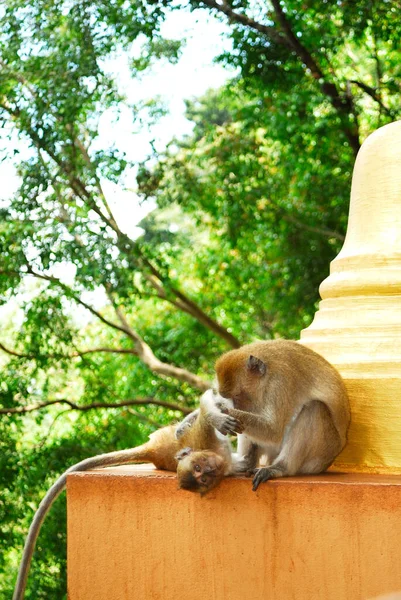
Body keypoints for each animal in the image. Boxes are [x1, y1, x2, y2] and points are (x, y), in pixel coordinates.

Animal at [12, 390, 239, 600]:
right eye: (200, 474)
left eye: (202, 468)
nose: (209, 471)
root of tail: (151, 451)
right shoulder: (206, 442)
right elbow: (206, 403)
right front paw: (217, 416)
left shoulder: (206, 441)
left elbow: (205, 404)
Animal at [202, 340, 348, 490]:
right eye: (230, 397)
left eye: (237, 395)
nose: (236, 407)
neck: (267, 375)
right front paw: (214, 416)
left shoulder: (281, 382)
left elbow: (273, 431)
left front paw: (217, 411)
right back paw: (246, 462)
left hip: (319, 457)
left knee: (315, 407)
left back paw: (280, 468)